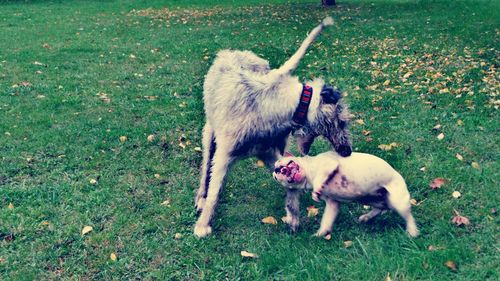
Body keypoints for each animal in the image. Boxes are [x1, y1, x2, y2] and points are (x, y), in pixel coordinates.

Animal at [194, 17, 352, 236]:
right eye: (342, 121)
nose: (347, 151)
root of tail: (231, 52)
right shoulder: (225, 155)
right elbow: (215, 189)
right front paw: (203, 224)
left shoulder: (268, 151)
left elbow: (290, 182)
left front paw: (292, 215)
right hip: (210, 132)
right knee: (206, 168)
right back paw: (201, 197)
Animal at [274, 151, 418, 236]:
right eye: (275, 177)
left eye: (280, 162)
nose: (276, 169)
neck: (308, 176)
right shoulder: (332, 204)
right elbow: (326, 221)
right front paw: (320, 233)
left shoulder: (328, 164)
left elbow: (320, 179)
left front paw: (315, 192)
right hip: (371, 199)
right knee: (381, 208)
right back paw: (366, 217)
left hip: (398, 201)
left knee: (408, 216)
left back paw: (412, 231)